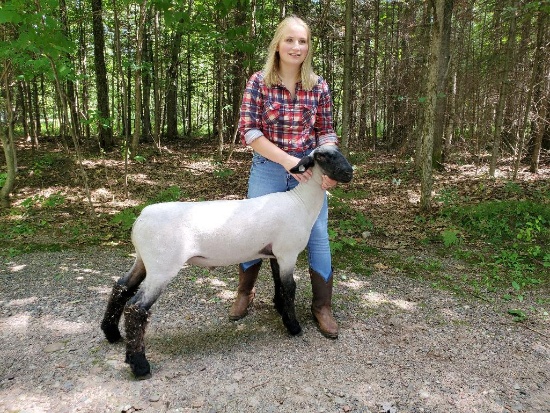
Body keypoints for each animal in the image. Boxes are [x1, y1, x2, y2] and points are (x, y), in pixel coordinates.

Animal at [101, 144, 356, 376]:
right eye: (323, 156)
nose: (350, 173)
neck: (300, 203)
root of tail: (140, 219)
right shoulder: (288, 252)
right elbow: (289, 288)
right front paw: (293, 326)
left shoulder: (276, 253)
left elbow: (279, 285)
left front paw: (281, 311)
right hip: (162, 267)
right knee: (136, 308)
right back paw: (139, 365)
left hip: (144, 260)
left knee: (121, 287)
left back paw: (112, 334)